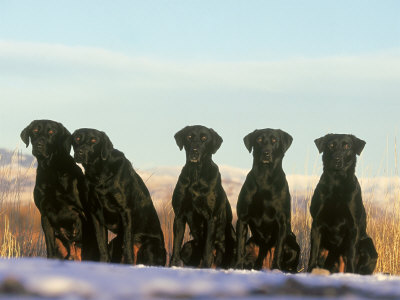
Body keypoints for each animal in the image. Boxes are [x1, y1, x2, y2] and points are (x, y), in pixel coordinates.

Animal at [20, 119, 97, 260]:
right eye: (35, 130)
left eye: (51, 131)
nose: (39, 144)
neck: (51, 169)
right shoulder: (45, 215)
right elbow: (49, 246)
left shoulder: (84, 213)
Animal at [71, 127, 166, 266]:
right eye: (77, 138)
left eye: (94, 140)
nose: (80, 152)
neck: (100, 176)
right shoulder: (95, 214)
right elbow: (101, 244)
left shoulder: (126, 211)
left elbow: (127, 244)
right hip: (114, 242)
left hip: (150, 245)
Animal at [168, 125, 234, 268]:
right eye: (189, 137)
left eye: (204, 138)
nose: (194, 152)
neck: (196, 174)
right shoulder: (179, 215)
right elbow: (176, 244)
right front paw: (173, 266)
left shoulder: (211, 217)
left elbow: (207, 249)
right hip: (188, 247)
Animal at [236, 128, 298, 272]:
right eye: (259, 139)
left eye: (275, 140)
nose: (266, 153)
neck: (264, 178)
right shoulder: (242, 218)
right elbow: (240, 246)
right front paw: (237, 266)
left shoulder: (282, 221)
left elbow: (279, 249)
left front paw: (277, 268)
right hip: (251, 243)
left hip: (292, 244)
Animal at [308, 134, 376, 274]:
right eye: (331, 145)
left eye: (347, 146)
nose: (337, 159)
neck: (336, 183)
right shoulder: (316, 223)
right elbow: (313, 252)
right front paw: (310, 270)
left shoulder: (354, 227)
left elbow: (351, 255)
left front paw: (350, 273)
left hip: (368, 244)